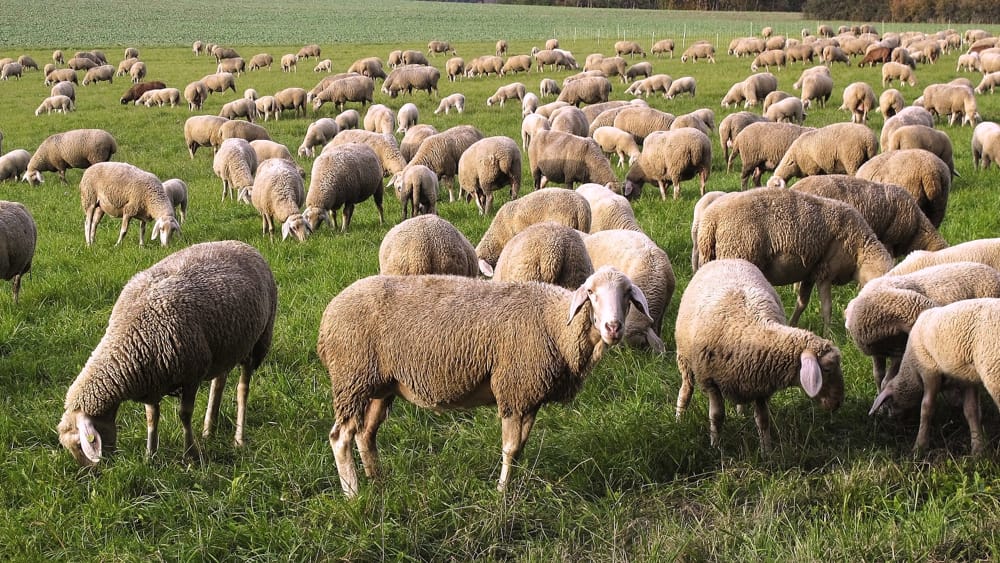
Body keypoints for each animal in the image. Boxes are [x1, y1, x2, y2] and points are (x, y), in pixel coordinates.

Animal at [58, 240, 276, 466]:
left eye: (80, 446)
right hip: (225, 345)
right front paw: (150, 456)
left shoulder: (191, 376)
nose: (94, 472)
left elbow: (184, 415)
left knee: (243, 389)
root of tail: (241, 243)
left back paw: (239, 439)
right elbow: (152, 418)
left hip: (259, 341)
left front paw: (190, 455)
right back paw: (209, 430)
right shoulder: (151, 382)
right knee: (219, 381)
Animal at [319, 265, 648, 496]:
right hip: (352, 376)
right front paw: (501, 493)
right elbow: (510, 448)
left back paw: (378, 481)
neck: (555, 324)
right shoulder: (514, 388)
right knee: (341, 437)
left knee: (365, 435)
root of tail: (328, 314)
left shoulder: (530, 396)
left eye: (627, 294)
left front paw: (511, 487)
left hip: (379, 386)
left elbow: (520, 449)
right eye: (591, 292)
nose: (613, 327)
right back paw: (353, 493)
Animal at [675, 259, 843, 451]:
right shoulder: (711, 382)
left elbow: (763, 420)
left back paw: (740, 414)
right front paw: (716, 447)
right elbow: (717, 417)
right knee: (686, 389)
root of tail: (727, 259)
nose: (838, 403)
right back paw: (679, 418)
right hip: (684, 359)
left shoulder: (760, 387)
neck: (749, 331)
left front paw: (767, 451)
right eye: (827, 369)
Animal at [695, 188, 893, 328]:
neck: (860, 250)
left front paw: (793, 324)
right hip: (736, 253)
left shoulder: (811, 272)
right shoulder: (826, 270)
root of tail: (710, 221)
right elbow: (827, 308)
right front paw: (829, 333)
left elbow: (802, 303)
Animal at [868, 299, 1000, 455]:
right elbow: (971, 410)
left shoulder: (929, 371)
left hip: (993, 369)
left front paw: (920, 446)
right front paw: (978, 449)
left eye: (889, 403)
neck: (912, 369)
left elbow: (926, 408)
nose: (893, 421)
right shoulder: (967, 379)